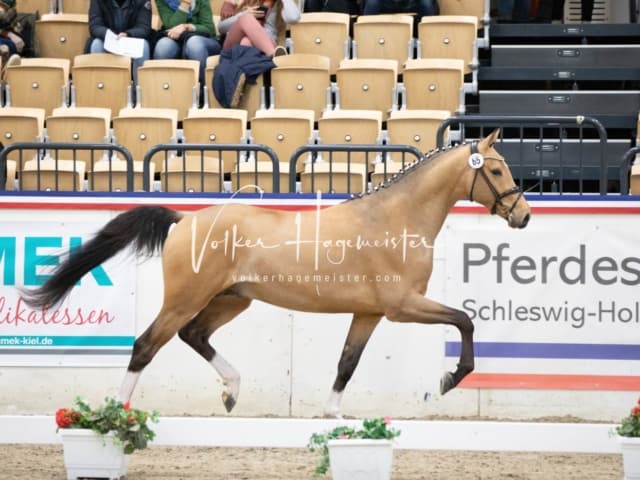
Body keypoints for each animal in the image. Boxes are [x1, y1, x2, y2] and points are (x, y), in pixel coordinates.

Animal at [20, 129, 528, 418]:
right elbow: (465, 320)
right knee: (147, 344)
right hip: (188, 297)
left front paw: (332, 415)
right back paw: (117, 411)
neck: (393, 219)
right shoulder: (403, 306)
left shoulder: (369, 313)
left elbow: (347, 362)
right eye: (497, 170)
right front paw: (450, 379)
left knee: (193, 335)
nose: (522, 216)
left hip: (233, 299)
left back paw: (231, 391)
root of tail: (185, 220)